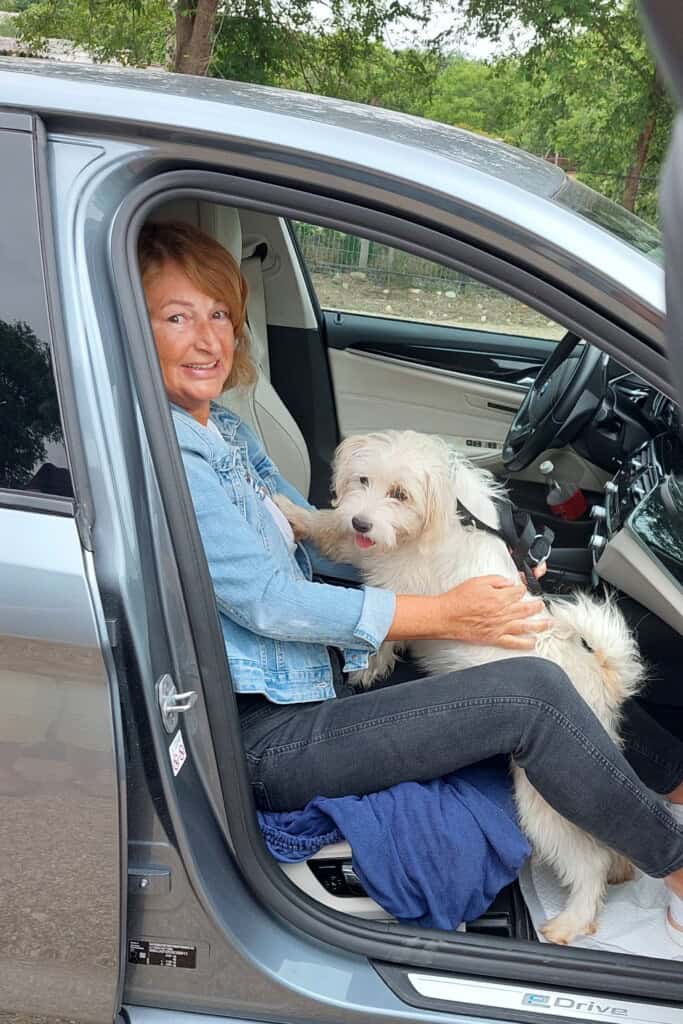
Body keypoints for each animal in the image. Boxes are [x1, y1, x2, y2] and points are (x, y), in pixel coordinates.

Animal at [275, 429, 645, 945]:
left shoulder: (401, 588)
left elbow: (384, 625)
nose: (363, 520)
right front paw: (292, 512)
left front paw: (370, 666)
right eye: (363, 481)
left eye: (400, 494)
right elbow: (334, 531)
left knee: (587, 859)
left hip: (545, 799)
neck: (439, 517)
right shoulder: (370, 548)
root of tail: (601, 679)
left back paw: (572, 920)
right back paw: (620, 872)